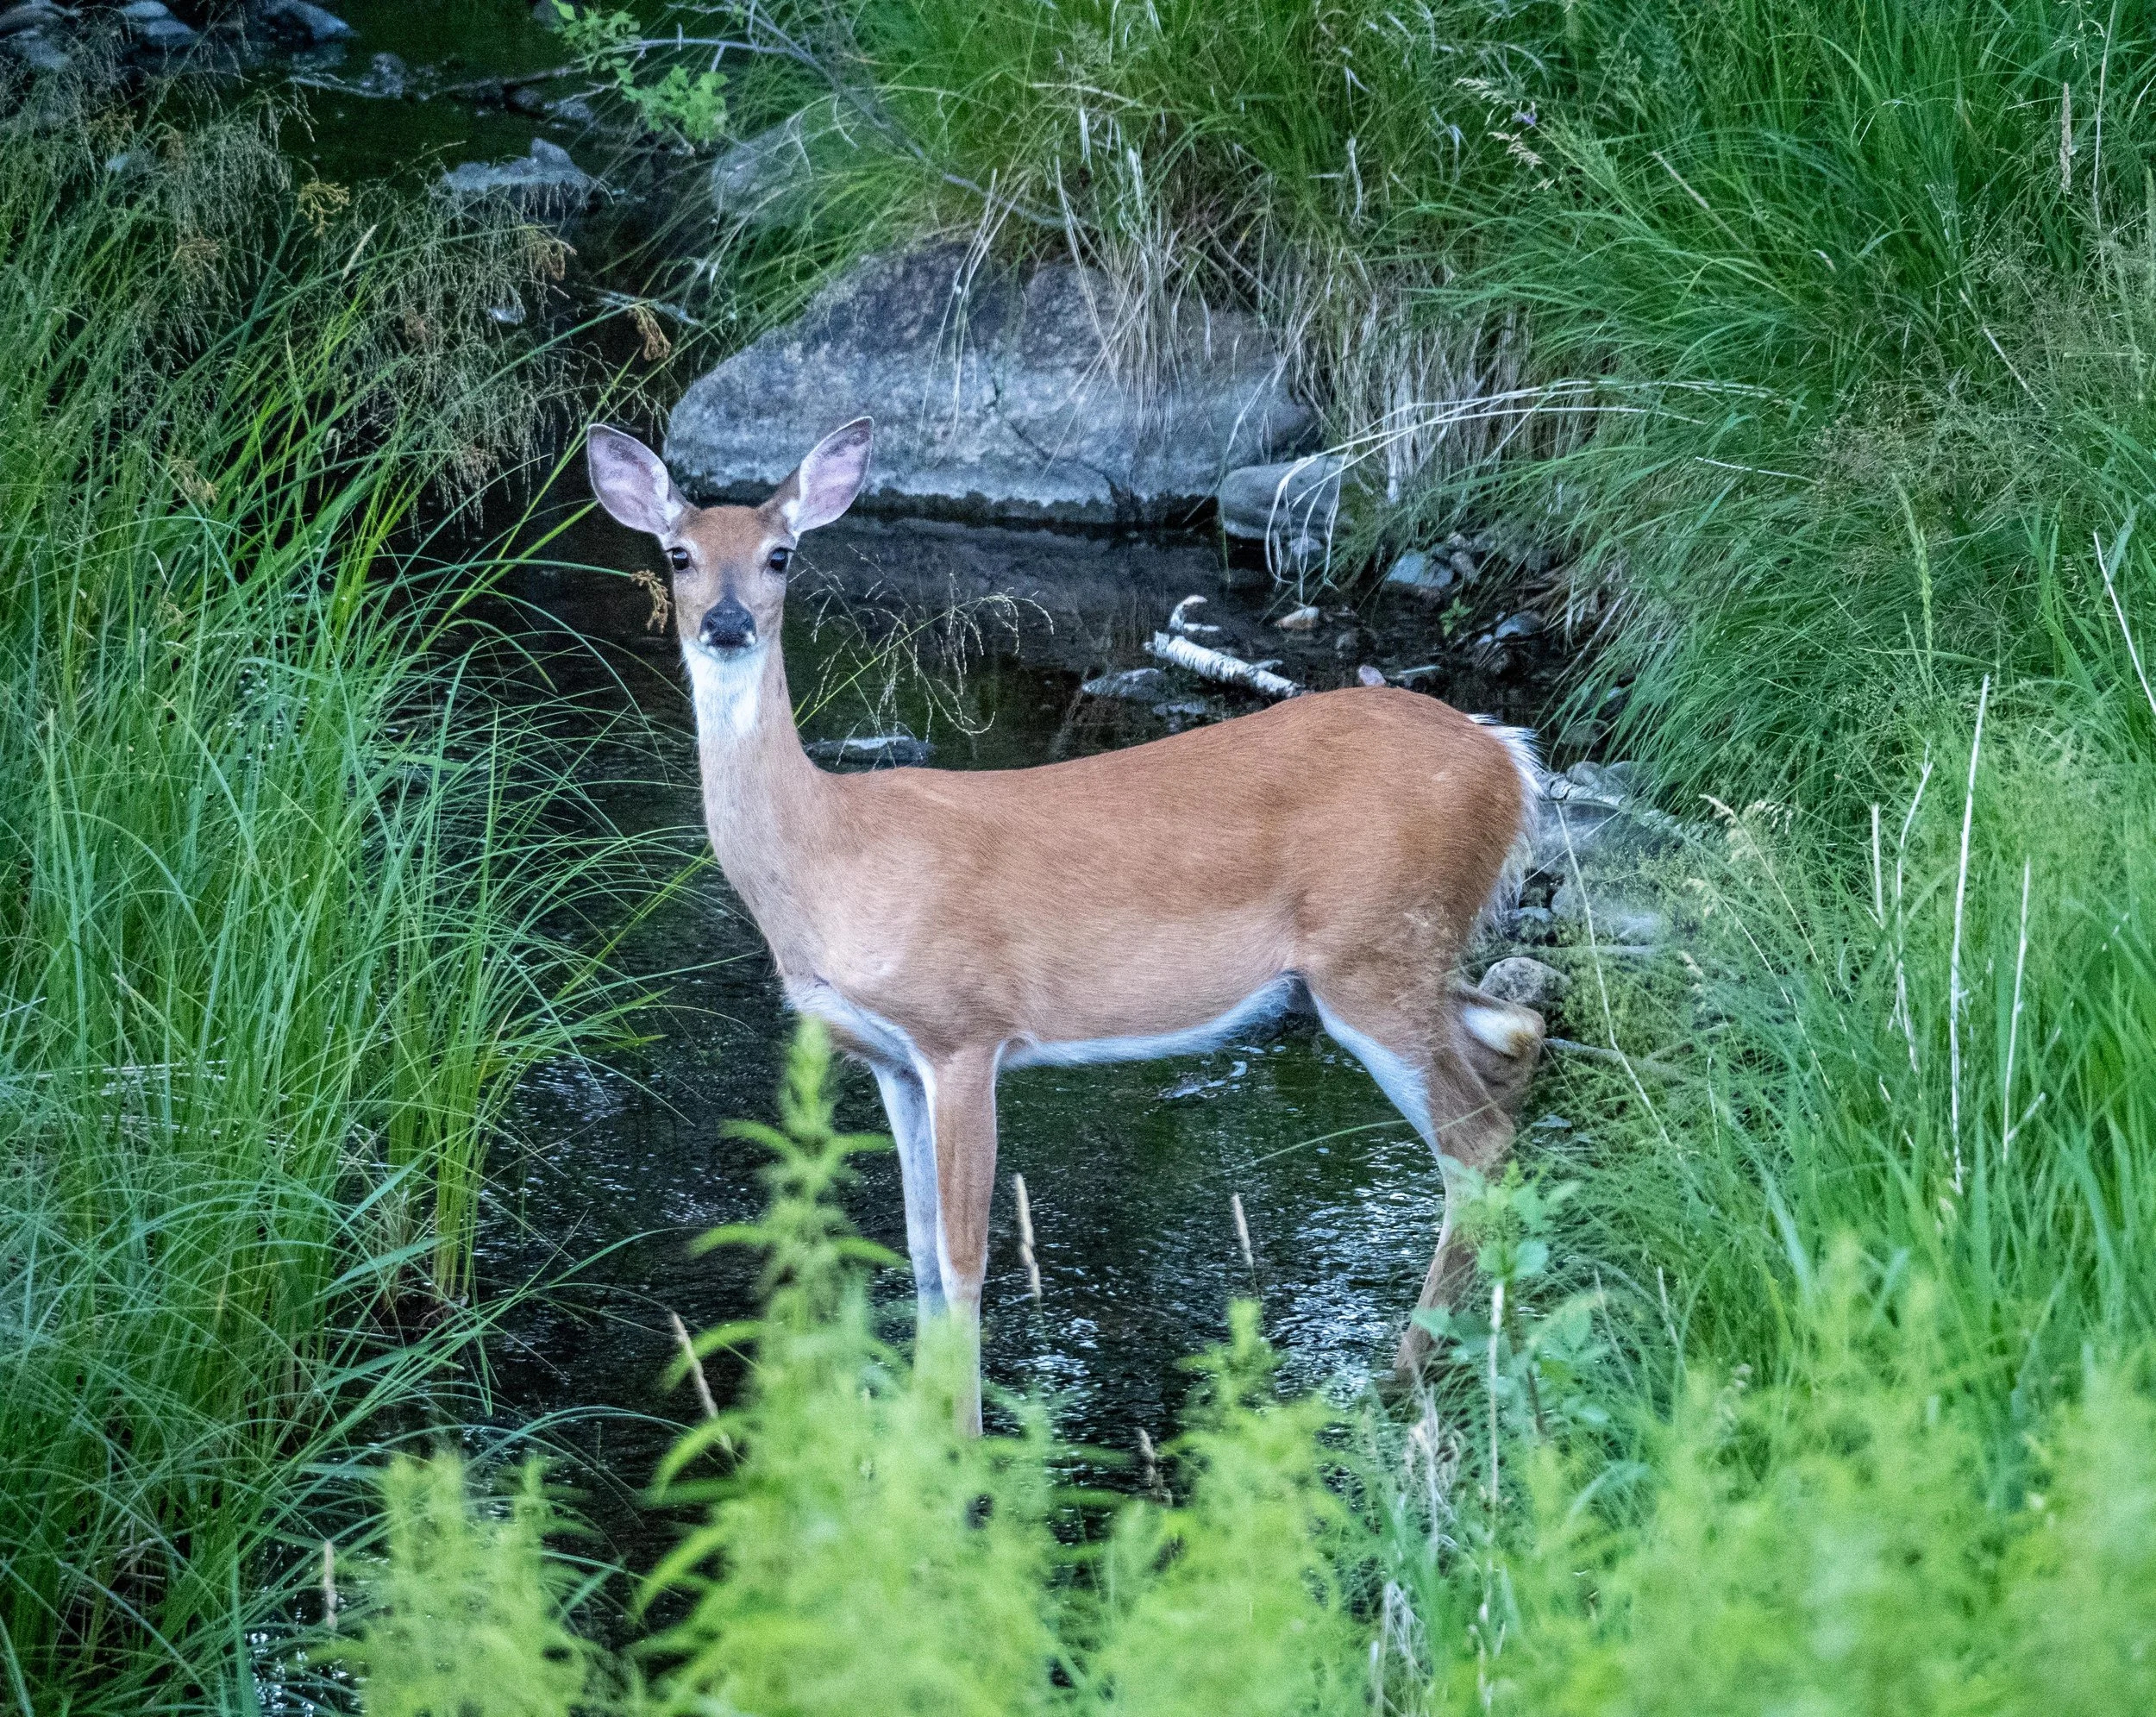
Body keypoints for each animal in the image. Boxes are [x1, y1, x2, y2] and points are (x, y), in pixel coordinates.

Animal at [587, 416, 1548, 1432]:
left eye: (781, 554)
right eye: (680, 554)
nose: (727, 622)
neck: (828, 860)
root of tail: (1509, 758)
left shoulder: (964, 1029)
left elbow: (965, 1259)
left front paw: (964, 1446)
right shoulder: (889, 1055)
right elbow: (916, 1248)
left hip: (1372, 954)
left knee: (1477, 1148)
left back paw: (1402, 1378)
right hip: (1402, 955)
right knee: (1516, 1035)